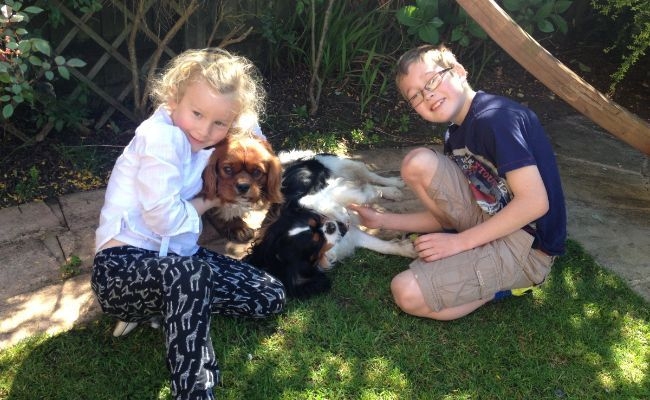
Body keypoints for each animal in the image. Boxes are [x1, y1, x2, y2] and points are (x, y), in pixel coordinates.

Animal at [243, 152, 416, 298]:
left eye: (315, 221)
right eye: (317, 242)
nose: (331, 227)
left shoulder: (318, 196)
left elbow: (347, 196)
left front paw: (363, 198)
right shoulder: (348, 235)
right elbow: (381, 246)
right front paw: (408, 250)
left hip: (340, 164)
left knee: (369, 176)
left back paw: (393, 187)